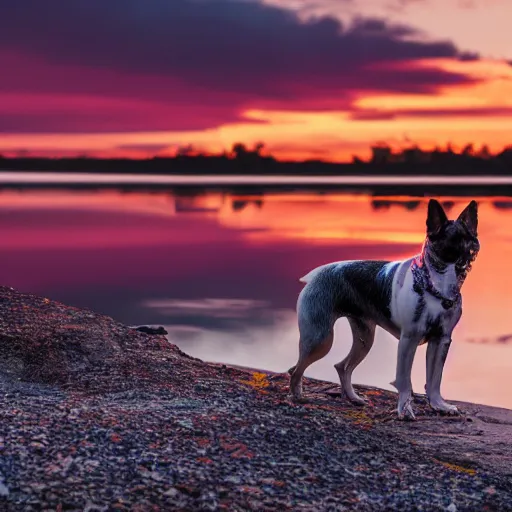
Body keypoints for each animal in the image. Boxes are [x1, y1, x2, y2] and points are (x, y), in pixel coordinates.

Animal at [288, 200, 480, 420]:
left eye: (472, 235)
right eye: (454, 239)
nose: (475, 247)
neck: (435, 285)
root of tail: (316, 275)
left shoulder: (441, 340)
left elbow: (434, 380)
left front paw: (439, 405)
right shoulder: (409, 339)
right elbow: (404, 380)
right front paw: (405, 411)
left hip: (364, 340)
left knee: (342, 366)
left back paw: (353, 398)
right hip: (321, 339)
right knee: (296, 369)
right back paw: (297, 396)